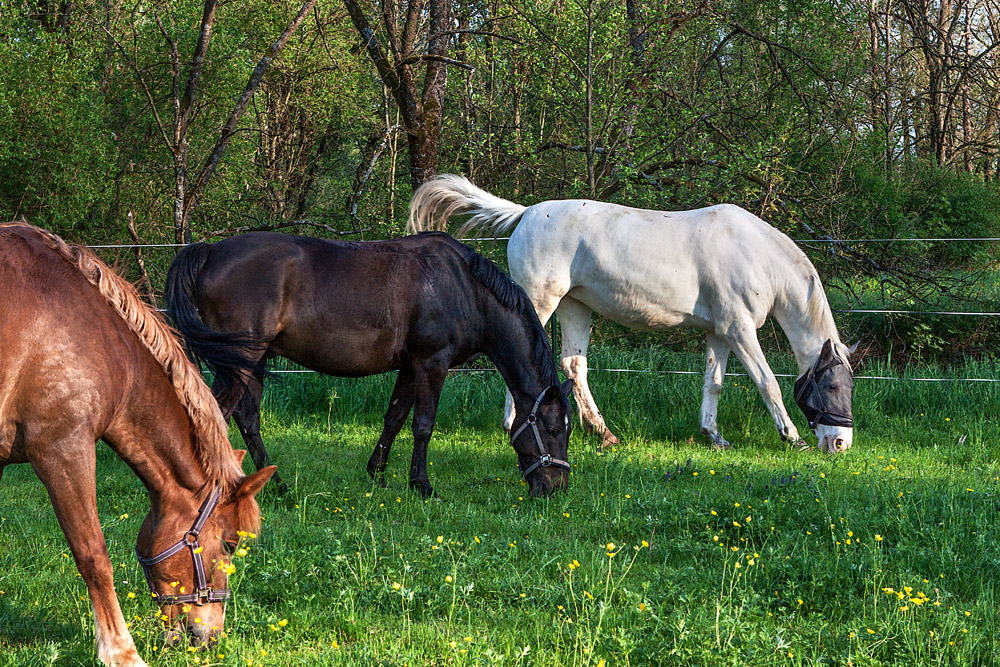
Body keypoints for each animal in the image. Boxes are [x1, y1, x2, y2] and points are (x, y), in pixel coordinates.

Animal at [163, 230, 572, 496]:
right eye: (553, 428)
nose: (556, 488)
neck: (463, 287)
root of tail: (210, 251)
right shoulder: (432, 363)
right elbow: (423, 425)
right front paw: (422, 485)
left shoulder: (410, 366)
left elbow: (394, 417)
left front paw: (377, 473)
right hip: (241, 362)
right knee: (219, 412)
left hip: (253, 360)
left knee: (246, 419)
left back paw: (276, 485)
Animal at [410, 174, 856, 454]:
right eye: (833, 385)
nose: (840, 443)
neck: (755, 255)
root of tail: (527, 213)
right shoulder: (740, 330)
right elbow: (768, 383)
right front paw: (792, 436)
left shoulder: (720, 332)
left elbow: (713, 383)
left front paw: (713, 435)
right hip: (540, 301)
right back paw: (513, 423)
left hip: (575, 306)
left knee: (574, 365)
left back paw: (603, 433)